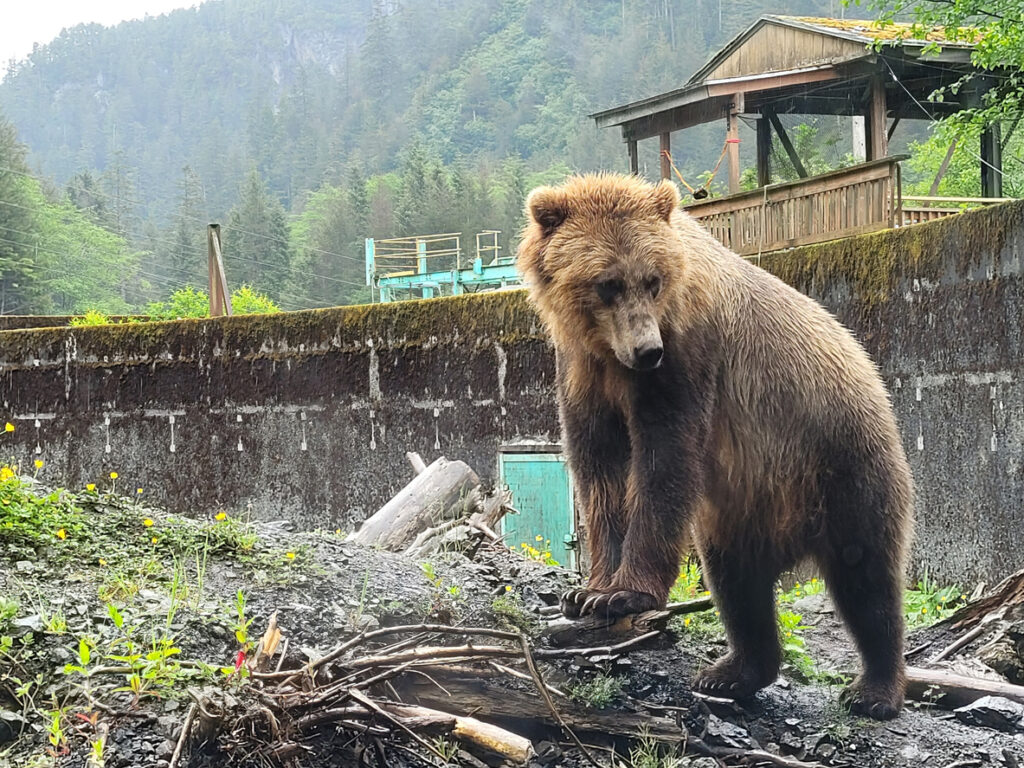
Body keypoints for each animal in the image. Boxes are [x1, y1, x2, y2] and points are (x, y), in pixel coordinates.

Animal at [516, 173, 914, 720]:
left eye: (652, 279)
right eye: (607, 283)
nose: (647, 350)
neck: (610, 354)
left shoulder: (687, 359)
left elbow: (664, 460)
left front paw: (624, 593)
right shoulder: (583, 372)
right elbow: (599, 472)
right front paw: (589, 591)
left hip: (841, 460)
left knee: (867, 577)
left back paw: (875, 691)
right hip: (745, 508)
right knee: (738, 585)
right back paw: (731, 672)